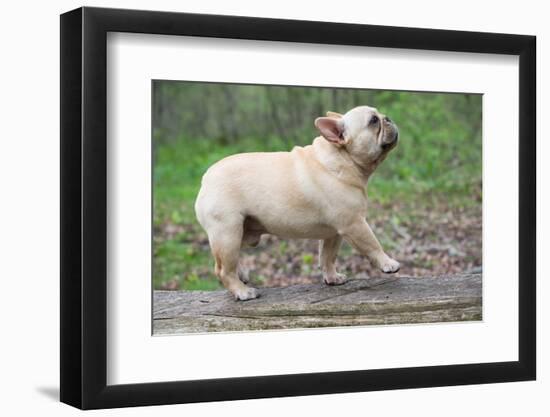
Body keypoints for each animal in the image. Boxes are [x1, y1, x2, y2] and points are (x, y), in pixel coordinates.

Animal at [196, 104, 398, 300]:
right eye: (373, 121)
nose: (388, 118)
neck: (343, 157)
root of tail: (206, 179)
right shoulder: (354, 224)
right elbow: (372, 244)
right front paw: (388, 263)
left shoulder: (334, 233)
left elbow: (327, 257)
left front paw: (332, 278)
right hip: (228, 233)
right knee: (223, 269)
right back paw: (243, 292)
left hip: (242, 233)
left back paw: (242, 276)